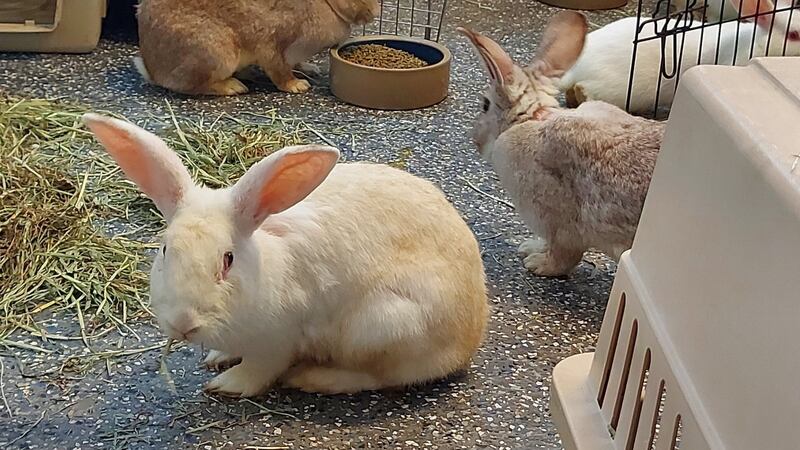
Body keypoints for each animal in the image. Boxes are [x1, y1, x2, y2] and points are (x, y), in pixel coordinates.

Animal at [82, 113, 488, 397]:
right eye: (166, 250)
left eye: (227, 260)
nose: (184, 323)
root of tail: (470, 334)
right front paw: (216, 358)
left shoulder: (277, 341)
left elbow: (259, 370)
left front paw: (226, 384)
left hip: (385, 325)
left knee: (380, 377)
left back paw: (312, 378)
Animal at [134, 0, 380, 95]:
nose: (375, 12)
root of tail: (152, 69)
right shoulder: (274, 44)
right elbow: (279, 70)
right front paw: (297, 86)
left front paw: (310, 69)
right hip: (216, 52)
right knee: (192, 86)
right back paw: (233, 87)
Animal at [458, 11, 666, 277]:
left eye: (485, 105)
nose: (475, 140)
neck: (534, 117)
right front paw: (530, 247)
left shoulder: (560, 226)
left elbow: (563, 256)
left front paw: (536, 263)